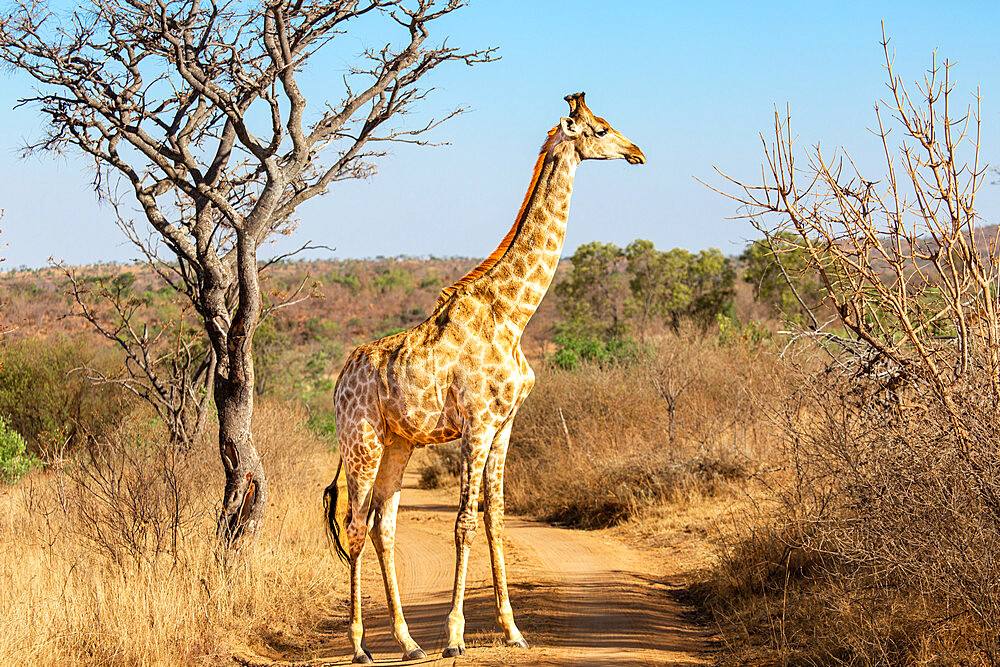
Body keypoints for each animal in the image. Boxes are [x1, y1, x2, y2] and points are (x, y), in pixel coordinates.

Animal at [324, 92, 644, 664]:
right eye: (602, 129)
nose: (638, 153)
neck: (514, 315)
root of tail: (339, 382)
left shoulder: (505, 425)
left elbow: (495, 517)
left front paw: (512, 630)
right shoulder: (476, 424)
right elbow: (464, 523)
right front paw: (455, 637)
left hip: (398, 442)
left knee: (384, 526)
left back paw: (408, 642)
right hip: (361, 440)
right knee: (355, 525)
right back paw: (361, 646)